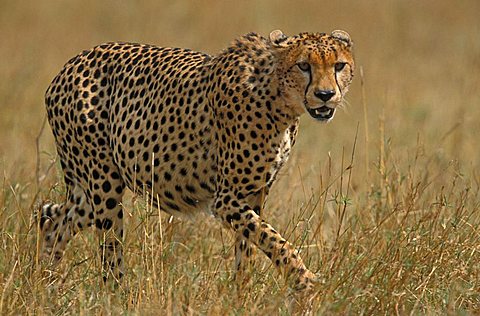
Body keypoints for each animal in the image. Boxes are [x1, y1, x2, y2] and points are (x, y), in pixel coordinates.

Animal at [39, 29, 354, 292]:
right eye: (304, 65)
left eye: (339, 66)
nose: (325, 95)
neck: (278, 96)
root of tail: (71, 64)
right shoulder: (226, 199)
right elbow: (273, 240)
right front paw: (303, 280)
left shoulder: (253, 194)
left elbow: (251, 245)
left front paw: (242, 296)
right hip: (104, 186)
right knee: (109, 252)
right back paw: (114, 297)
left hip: (91, 188)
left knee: (52, 217)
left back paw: (46, 283)